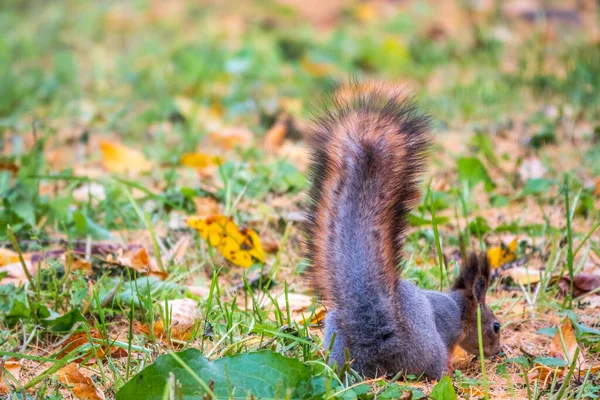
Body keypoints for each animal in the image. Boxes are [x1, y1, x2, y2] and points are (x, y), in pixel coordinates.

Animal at [304, 83, 502, 380]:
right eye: (496, 326)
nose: (498, 351)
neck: (457, 307)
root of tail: (377, 333)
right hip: (428, 351)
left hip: (336, 340)